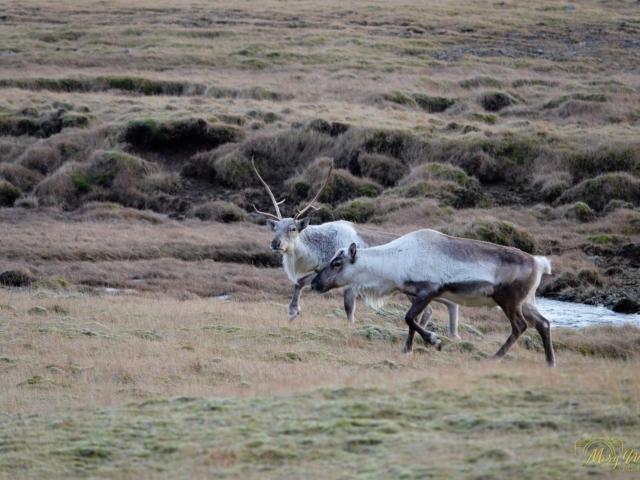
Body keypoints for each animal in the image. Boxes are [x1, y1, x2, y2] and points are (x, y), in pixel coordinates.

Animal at [251, 158, 461, 338]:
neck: (320, 249)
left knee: (432, 309)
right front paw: (293, 311)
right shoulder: (323, 272)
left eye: (293, 229)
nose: (275, 243)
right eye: (275, 228)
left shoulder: (348, 280)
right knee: (444, 305)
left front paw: (350, 326)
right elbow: (300, 282)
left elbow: (348, 308)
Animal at [310, 230, 556, 366]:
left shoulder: (428, 290)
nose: (314, 284)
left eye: (336, 263)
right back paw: (550, 362)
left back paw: (494, 357)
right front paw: (406, 350)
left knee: (520, 326)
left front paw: (434, 341)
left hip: (508, 300)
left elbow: (409, 319)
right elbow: (412, 321)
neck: (393, 263)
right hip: (527, 302)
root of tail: (539, 263)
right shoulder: (414, 294)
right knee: (543, 323)